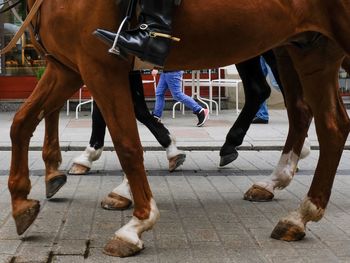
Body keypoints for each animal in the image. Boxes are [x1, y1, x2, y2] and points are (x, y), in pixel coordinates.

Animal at [10, 0, 350, 258]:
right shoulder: (66, 67)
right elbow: (22, 123)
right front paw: (22, 201)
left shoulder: (100, 66)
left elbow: (126, 140)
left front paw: (137, 222)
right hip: (308, 49)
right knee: (326, 123)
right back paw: (296, 211)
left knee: (283, 101)